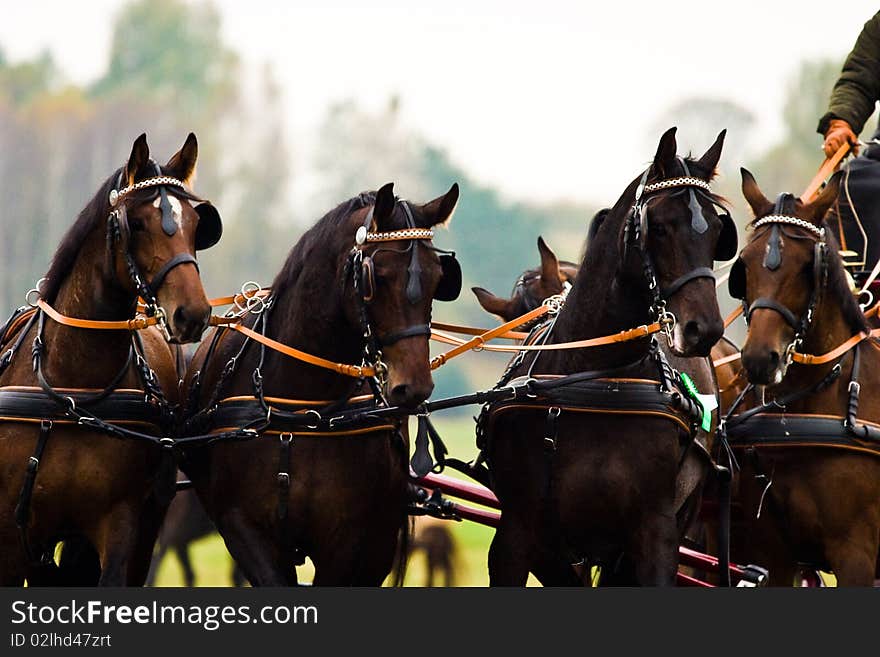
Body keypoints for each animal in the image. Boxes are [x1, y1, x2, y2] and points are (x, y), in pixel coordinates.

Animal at [0, 135, 217, 584]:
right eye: (138, 223)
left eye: (194, 224)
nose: (193, 314)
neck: (74, 389)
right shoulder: (15, 538)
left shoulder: (120, 526)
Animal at [183, 181, 464, 584]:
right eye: (377, 276)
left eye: (439, 278)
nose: (413, 387)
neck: (305, 408)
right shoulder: (244, 527)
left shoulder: (353, 541)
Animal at [482, 128, 736, 584]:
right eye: (660, 227)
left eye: (716, 233)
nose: (703, 329)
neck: (594, 380)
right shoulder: (522, 533)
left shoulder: (655, 533)